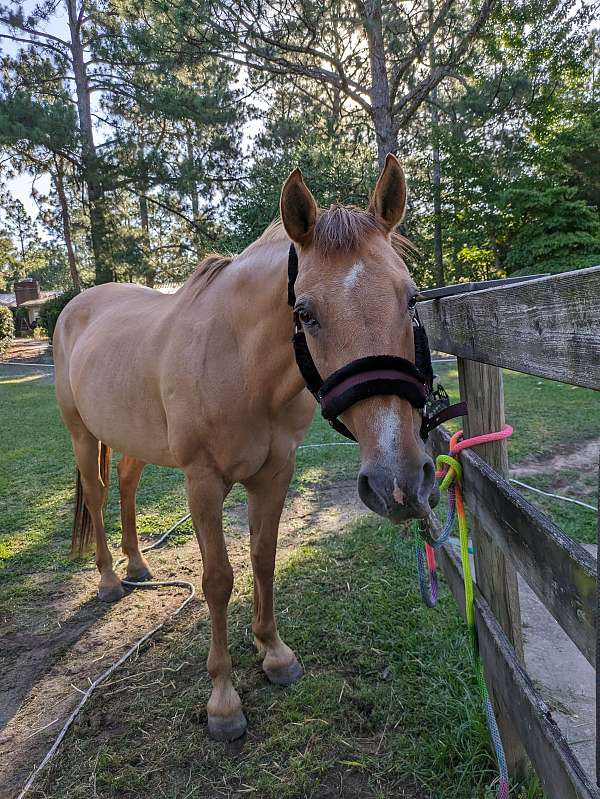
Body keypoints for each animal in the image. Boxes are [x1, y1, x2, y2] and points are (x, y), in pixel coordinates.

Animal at [55, 156, 440, 744]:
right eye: (305, 312)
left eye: (412, 297)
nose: (398, 482)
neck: (238, 361)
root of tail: (78, 304)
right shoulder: (202, 482)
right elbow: (217, 581)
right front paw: (223, 700)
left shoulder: (275, 472)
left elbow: (263, 557)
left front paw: (274, 653)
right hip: (81, 433)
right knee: (97, 496)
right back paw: (108, 580)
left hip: (133, 439)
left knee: (125, 483)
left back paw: (138, 565)